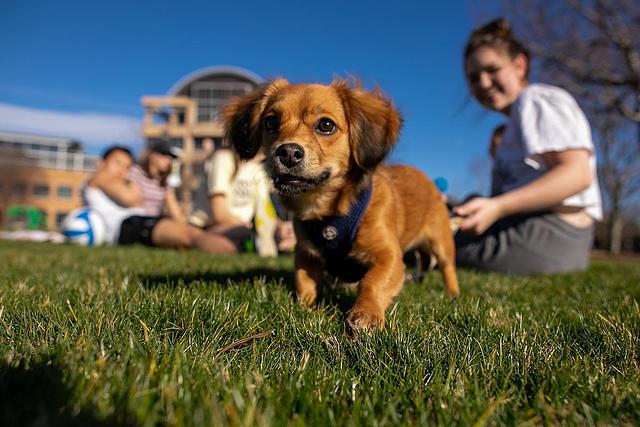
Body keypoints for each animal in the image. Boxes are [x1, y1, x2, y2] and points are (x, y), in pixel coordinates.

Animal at [222, 79, 458, 332]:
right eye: (270, 122)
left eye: (326, 125)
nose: (288, 152)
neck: (325, 211)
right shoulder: (306, 254)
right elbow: (304, 282)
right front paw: (303, 307)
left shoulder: (390, 256)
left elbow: (372, 281)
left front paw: (366, 313)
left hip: (441, 242)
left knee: (448, 268)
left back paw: (453, 295)